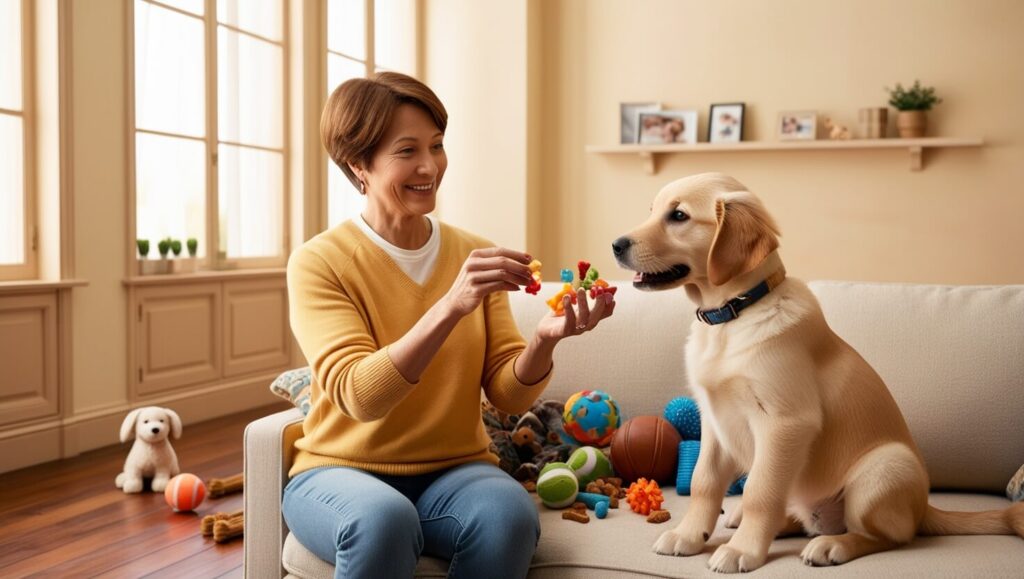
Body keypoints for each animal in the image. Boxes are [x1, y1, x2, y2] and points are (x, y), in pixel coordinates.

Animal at [610, 171, 1019, 569]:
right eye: (652, 211)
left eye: (679, 216)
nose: (615, 244)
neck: (732, 315)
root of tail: (923, 509)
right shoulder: (715, 422)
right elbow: (704, 483)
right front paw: (690, 536)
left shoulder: (785, 422)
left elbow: (760, 491)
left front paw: (743, 551)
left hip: (885, 468)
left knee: (890, 536)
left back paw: (831, 545)